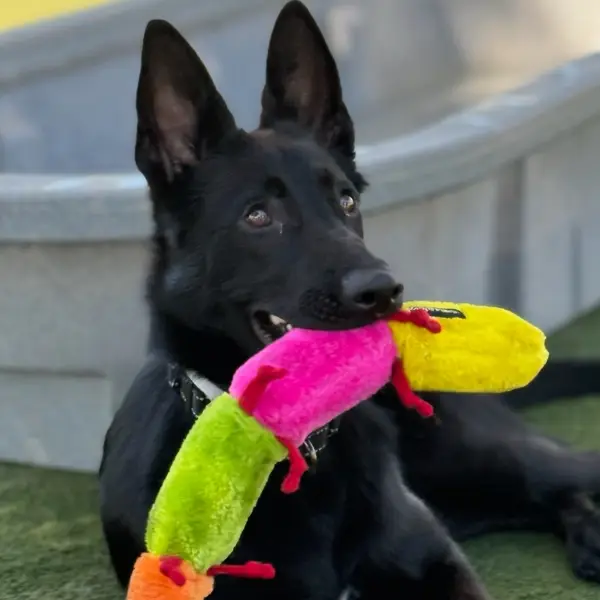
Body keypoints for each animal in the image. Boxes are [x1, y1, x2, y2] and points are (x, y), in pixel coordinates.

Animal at [99, 2, 600, 596]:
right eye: (258, 216)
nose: (383, 291)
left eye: (346, 201)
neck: (304, 455)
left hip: (476, 455)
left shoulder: (439, 563)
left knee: (573, 469)